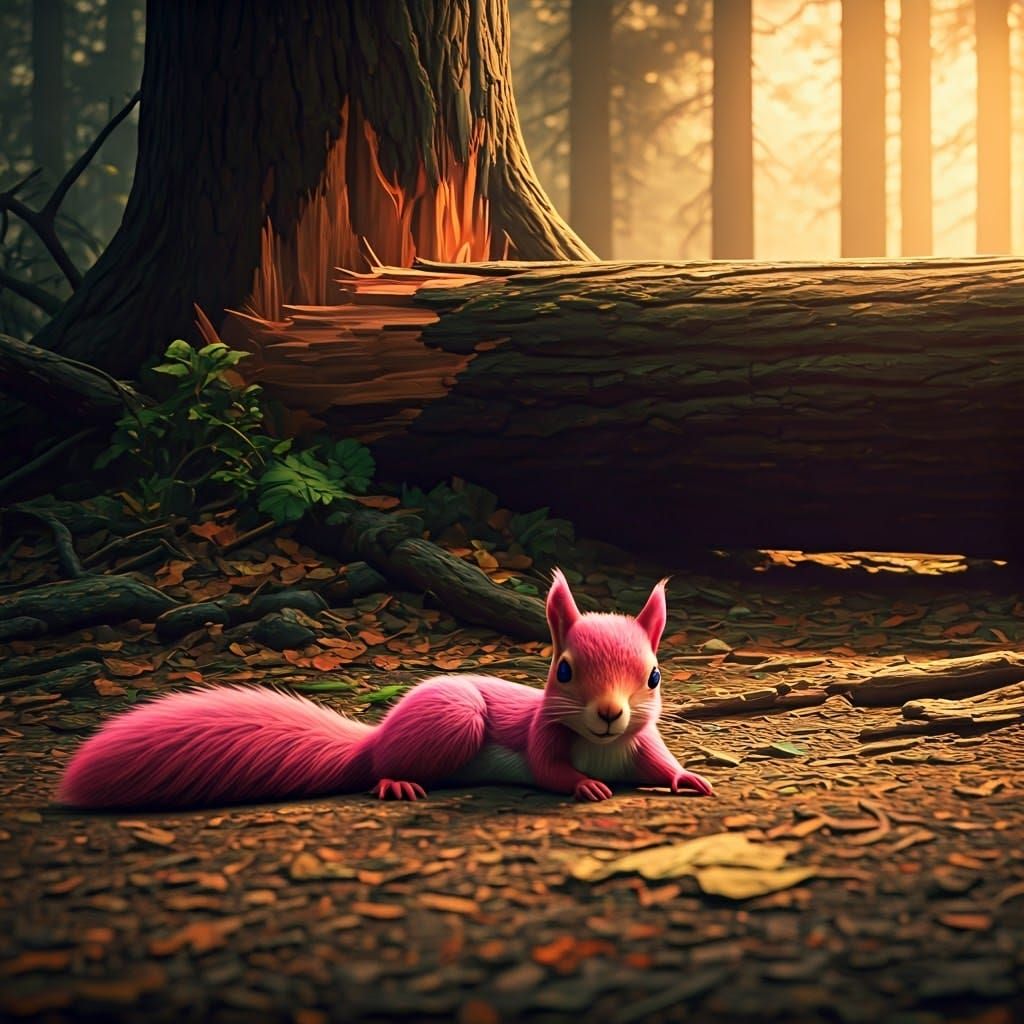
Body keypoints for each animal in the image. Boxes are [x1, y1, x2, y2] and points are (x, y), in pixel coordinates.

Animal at [58, 569, 713, 809]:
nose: (608, 715)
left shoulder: (640, 742)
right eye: (564, 671)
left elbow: (661, 763)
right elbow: (551, 771)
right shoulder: (541, 738)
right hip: (453, 721)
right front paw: (584, 785)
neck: (602, 746)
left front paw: (689, 778)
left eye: (654, 675)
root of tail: (374, 738)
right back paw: (396, 781)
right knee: (383, 768)